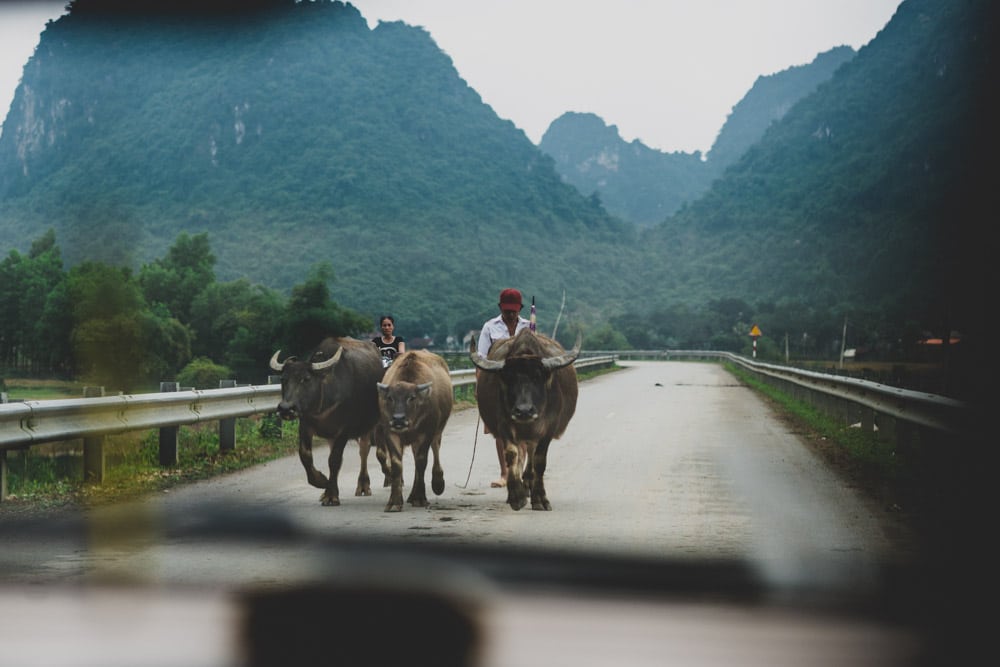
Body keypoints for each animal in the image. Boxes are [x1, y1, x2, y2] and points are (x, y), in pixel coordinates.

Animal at [270, 340, 386, 506]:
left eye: (306, 379)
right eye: (283, 379)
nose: (286, 408)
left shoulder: (344, 430)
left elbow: (334, 460)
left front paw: (331, 495)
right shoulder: (305, 425)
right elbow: (305, 455)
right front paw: (323, 483)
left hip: (371, 424)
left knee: (365, 450)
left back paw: (364, 485)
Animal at [376, 350, 454, 512]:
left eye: (411, 398)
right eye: (390, 398)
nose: (398, 419)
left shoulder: (426, 433)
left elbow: (421, 462)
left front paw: (420, 498)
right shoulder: (390, 432)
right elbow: (396, 464)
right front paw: (394, 502)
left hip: (438, 429)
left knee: (434, 449)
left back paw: (436, 483)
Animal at [472, 328, 584, 512]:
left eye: (537, 377)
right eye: (509, 378)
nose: (524, 411)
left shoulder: (549, 427)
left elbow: (539, 461)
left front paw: (540, 499)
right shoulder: (504, 424)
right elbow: (512, 454)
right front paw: (517, 496)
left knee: (531, 454)